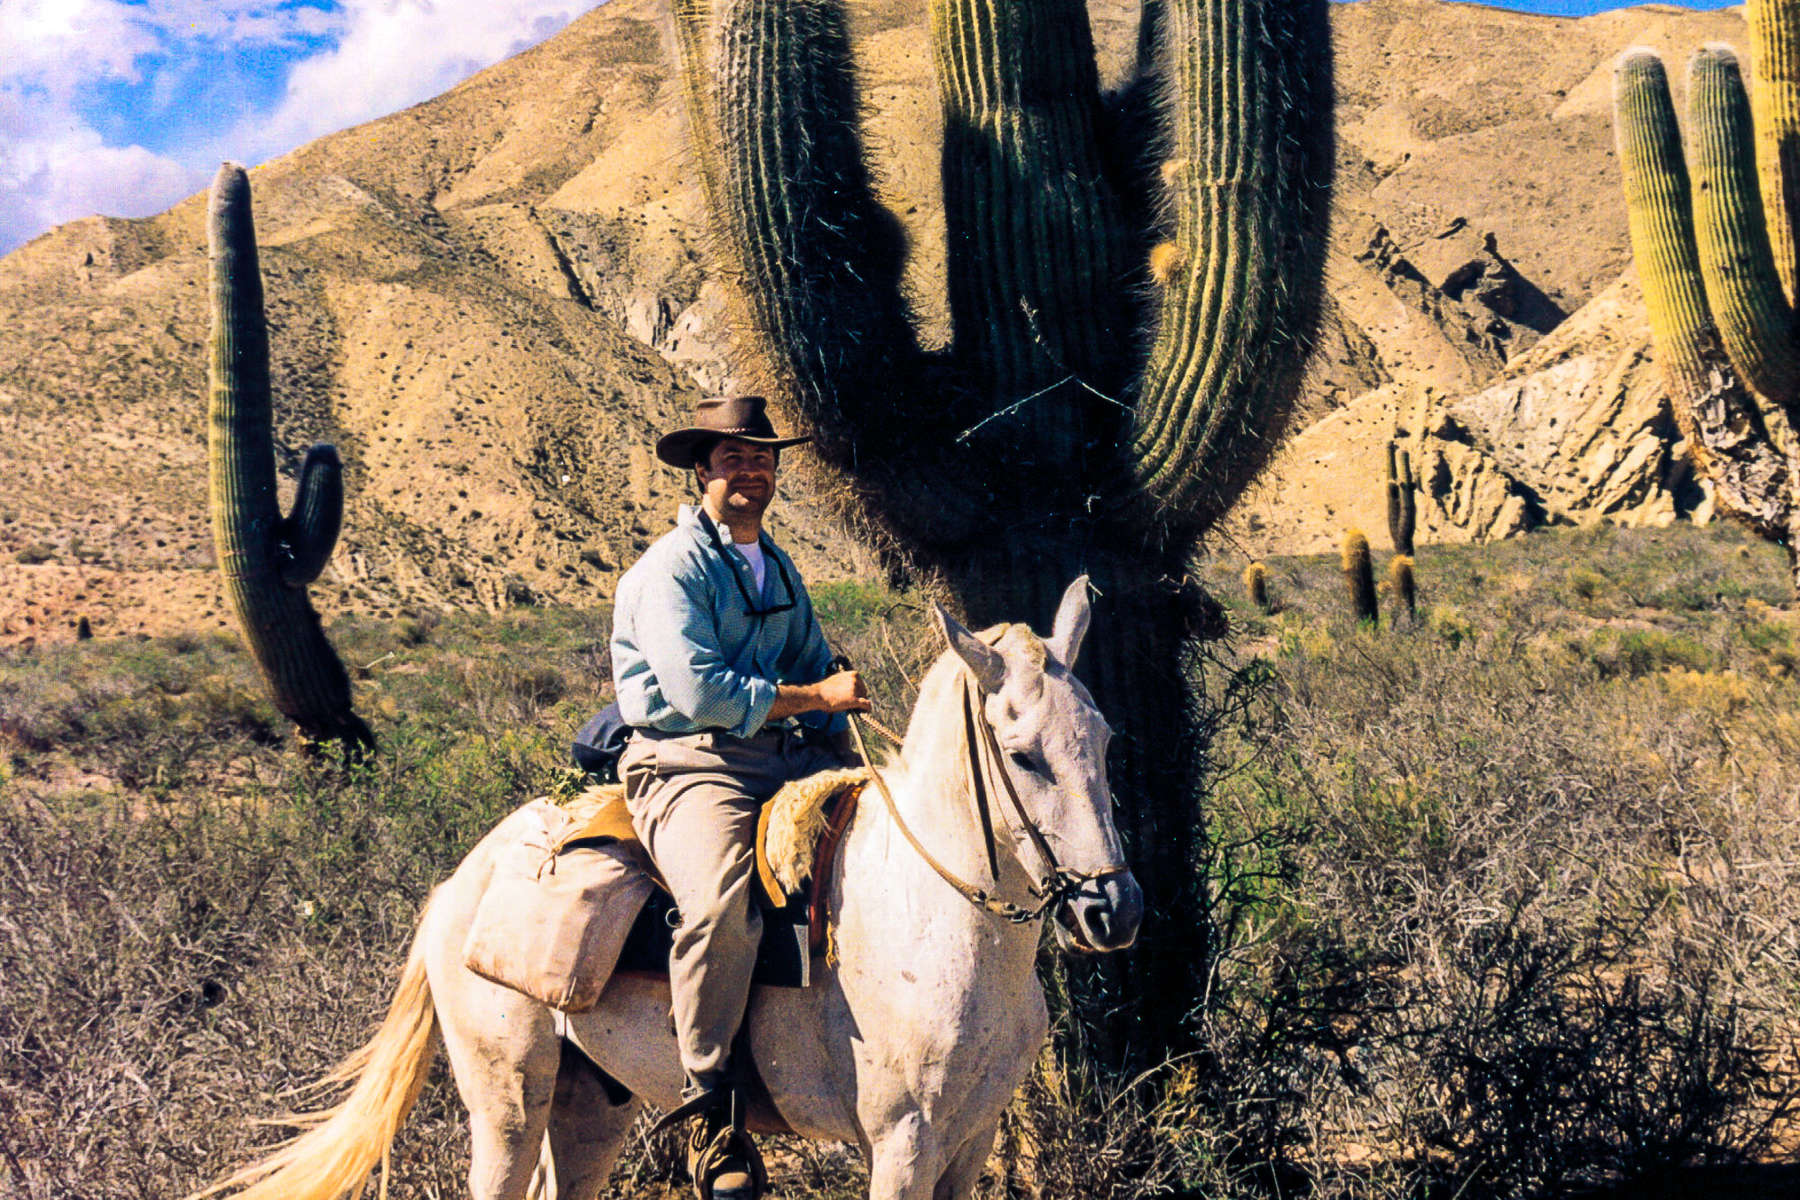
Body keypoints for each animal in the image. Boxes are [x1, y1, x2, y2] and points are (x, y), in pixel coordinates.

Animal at [197, 575, 1144, 1194]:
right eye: (1023, 755)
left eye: (1102, 737)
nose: (1113, 910)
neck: (935, 920)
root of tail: (456, 887)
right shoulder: (903, 1145)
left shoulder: (970, 1139)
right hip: (508, 1105)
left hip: (589, 1107)